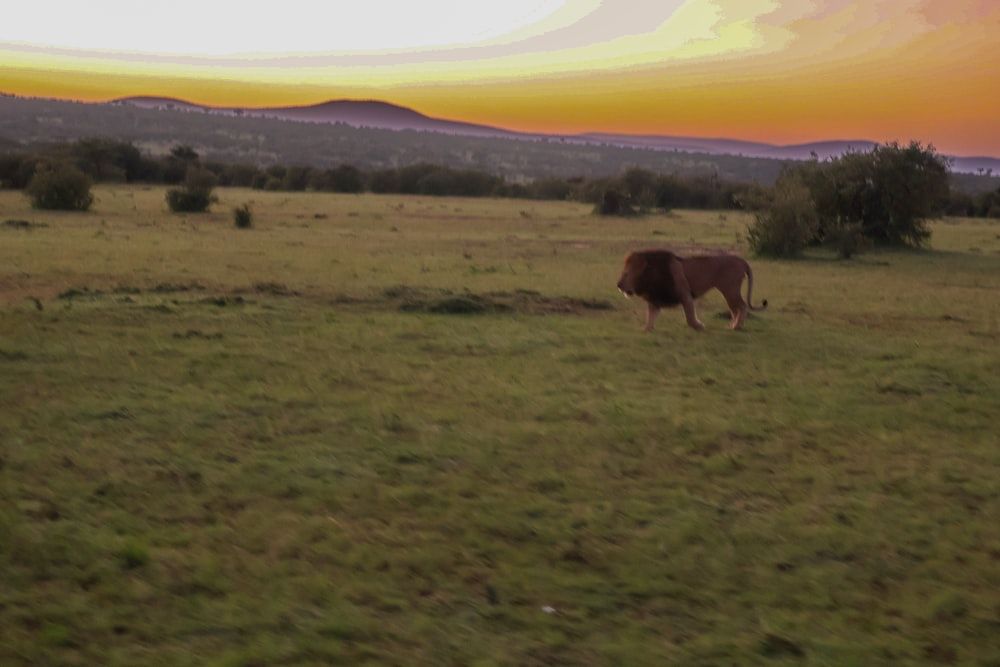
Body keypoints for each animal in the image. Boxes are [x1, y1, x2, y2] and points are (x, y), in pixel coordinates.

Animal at [616, 249, 764, 332]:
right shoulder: (655, 299)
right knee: (735, 310)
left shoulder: (685, 294)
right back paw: (734, 325)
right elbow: (650, 317)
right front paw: (646, 329)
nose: (618, 285)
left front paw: (699, 326)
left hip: (730, 290)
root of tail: (741, 260)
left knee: (742, 306)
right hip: (729, 292)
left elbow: (690, 317)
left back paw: (736, 326)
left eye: (626, 274)